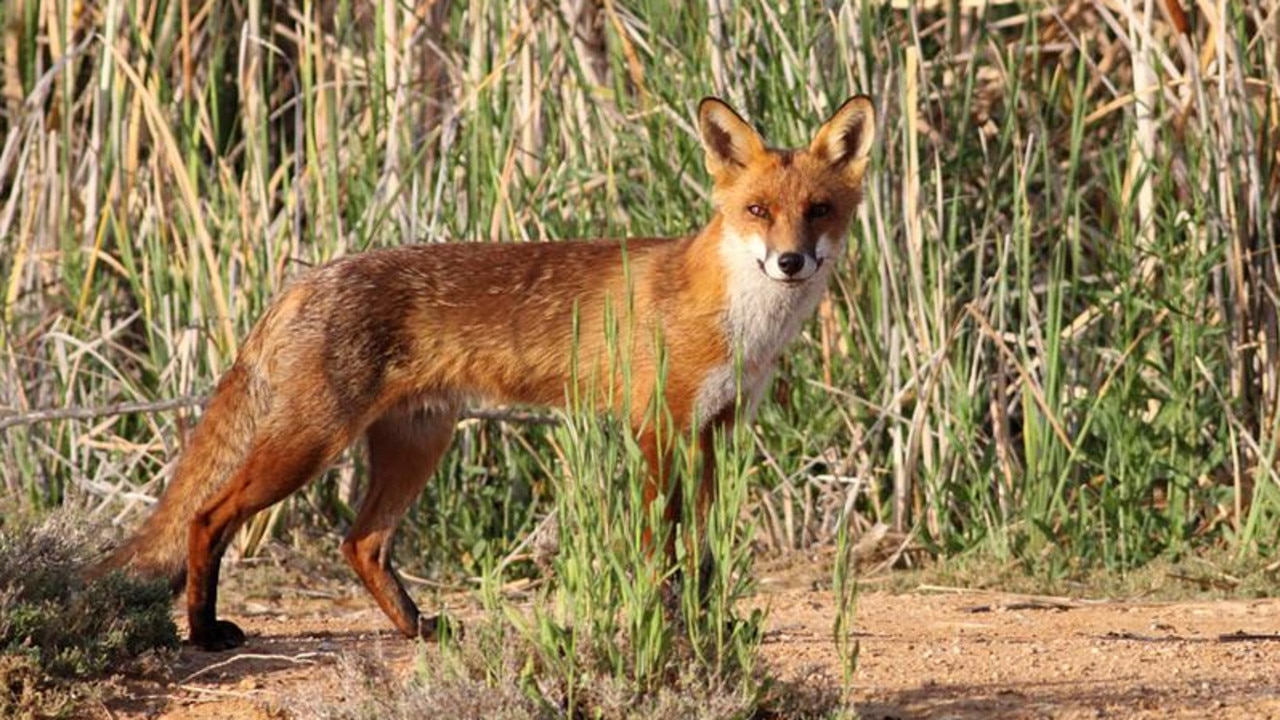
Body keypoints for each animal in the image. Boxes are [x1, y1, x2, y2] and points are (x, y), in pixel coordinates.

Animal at [97, 92, 880, 648]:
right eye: (758, 210)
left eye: (818, 210)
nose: (790, 261)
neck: (738, 323)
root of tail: (304, 279)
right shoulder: (657, 431)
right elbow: (660, 548)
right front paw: (662, 626)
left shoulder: (715, 432)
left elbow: (703, 554)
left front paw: (706, 623)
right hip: (307, 445)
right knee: (208, 516)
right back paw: (203, 632)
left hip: (417, 445)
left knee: (361, 543)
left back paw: (418, 630)